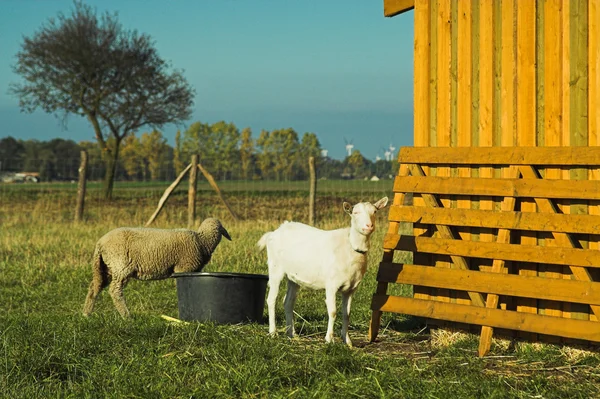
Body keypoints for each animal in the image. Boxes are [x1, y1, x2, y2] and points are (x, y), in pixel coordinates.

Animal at [79, 219, 230, 318]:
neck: (202, 241)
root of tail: (100, 243)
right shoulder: (184, 268)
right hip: (121, 266)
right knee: (115, 291)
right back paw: (127, 316)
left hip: (105, 268)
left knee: (94, 287)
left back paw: (86, 313)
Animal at [256, 197, 390, 346]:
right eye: (355, 212)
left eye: (375, 212)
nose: (368, 226)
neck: (350, 247)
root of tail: (274, 232)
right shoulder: (331, 284)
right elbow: (333, 312)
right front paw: (329, 339)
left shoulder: (351, 289)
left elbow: (346, 314)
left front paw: (348, 341)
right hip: (275, 268)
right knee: (271, 299)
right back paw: (273, 333)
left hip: (293, 277)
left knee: (288, 302)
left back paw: (292, 334)